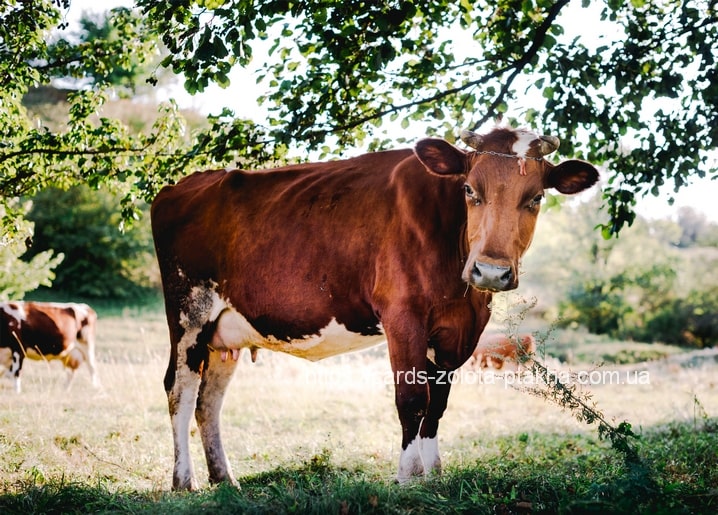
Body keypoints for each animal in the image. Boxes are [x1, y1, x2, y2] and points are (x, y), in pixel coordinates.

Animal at [151, 125, 599, 490]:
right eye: (470, 190)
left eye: (535, 197)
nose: (490, 271)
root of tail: (183, 185)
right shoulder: (403, 317)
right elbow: (413, 398)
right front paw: (407, 476)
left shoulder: (458, 331)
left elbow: (438, 403)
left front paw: (434, 474)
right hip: (189, 311)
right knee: (180, 389)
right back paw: (184, 480)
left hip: (224, 331)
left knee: (209, 401)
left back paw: (224, 479)